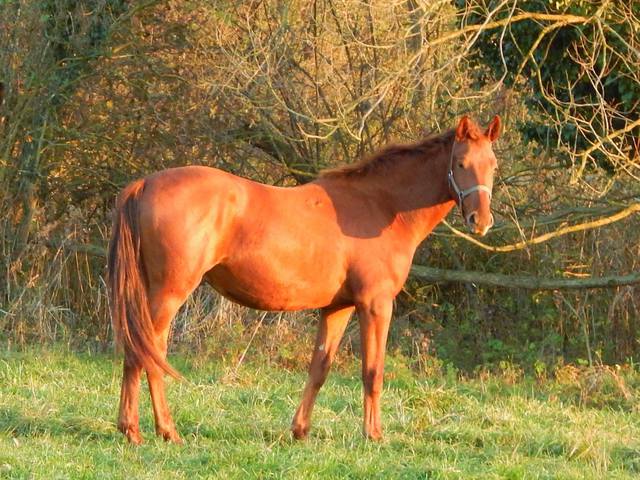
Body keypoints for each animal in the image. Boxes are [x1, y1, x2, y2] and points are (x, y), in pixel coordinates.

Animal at [107, 114, 502, 444]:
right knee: (149, 352)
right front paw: (373, 435)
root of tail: (144, 184)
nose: (480, 221)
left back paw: (132, 429)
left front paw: (300, 430)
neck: (380, 205)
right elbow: (372, 372)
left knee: (137, 351)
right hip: (170, 293)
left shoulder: (337, 308)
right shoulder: (375, 305)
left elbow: (319, 369)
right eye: (461, 163)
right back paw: (161, 431)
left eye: (493, 165)